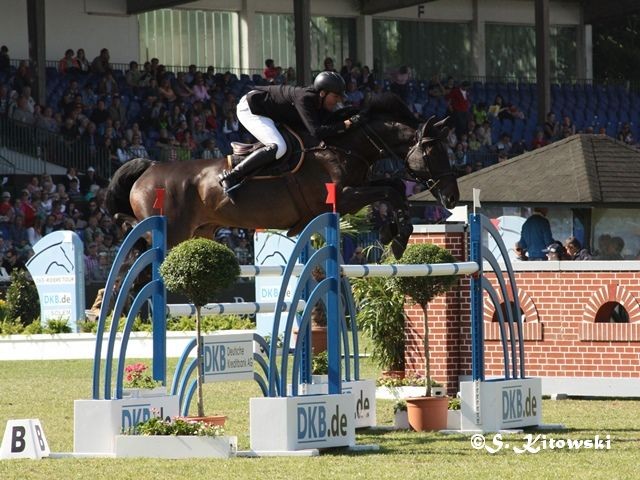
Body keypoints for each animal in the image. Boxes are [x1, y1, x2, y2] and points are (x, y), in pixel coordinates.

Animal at [107, 93, 460, 258]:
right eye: (434, 152)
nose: (453, 197)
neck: (343, 145)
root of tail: (151, 166)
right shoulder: (342, 198)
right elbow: (390, 190)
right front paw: (397, 238)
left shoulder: (356, 189)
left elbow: (393, 185)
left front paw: (393, 233)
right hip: (171, 232)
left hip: (199, 232)